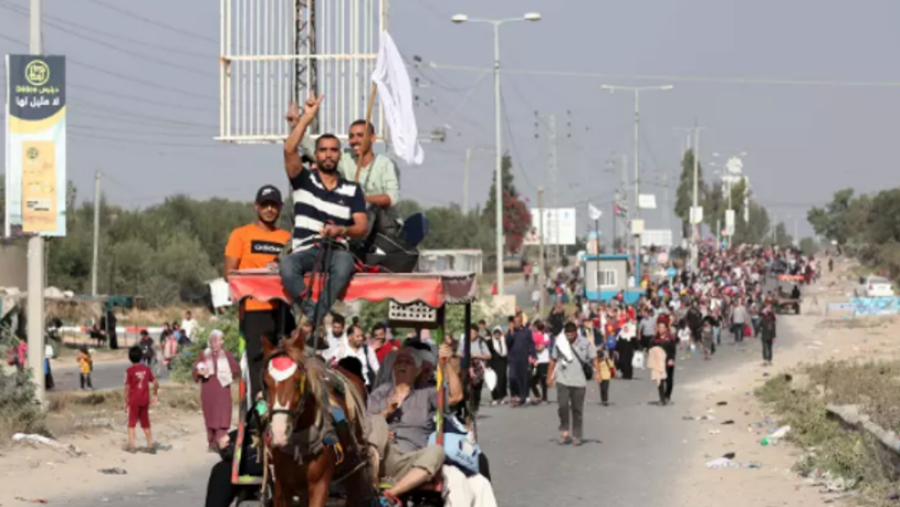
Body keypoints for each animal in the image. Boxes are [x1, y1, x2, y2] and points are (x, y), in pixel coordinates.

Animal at [260, 336, 376, 506]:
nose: (279, 432)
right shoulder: (281, 485)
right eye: (266, 383)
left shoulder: (320, 485)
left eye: (297, 382)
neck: (299, 446)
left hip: (354, 466)